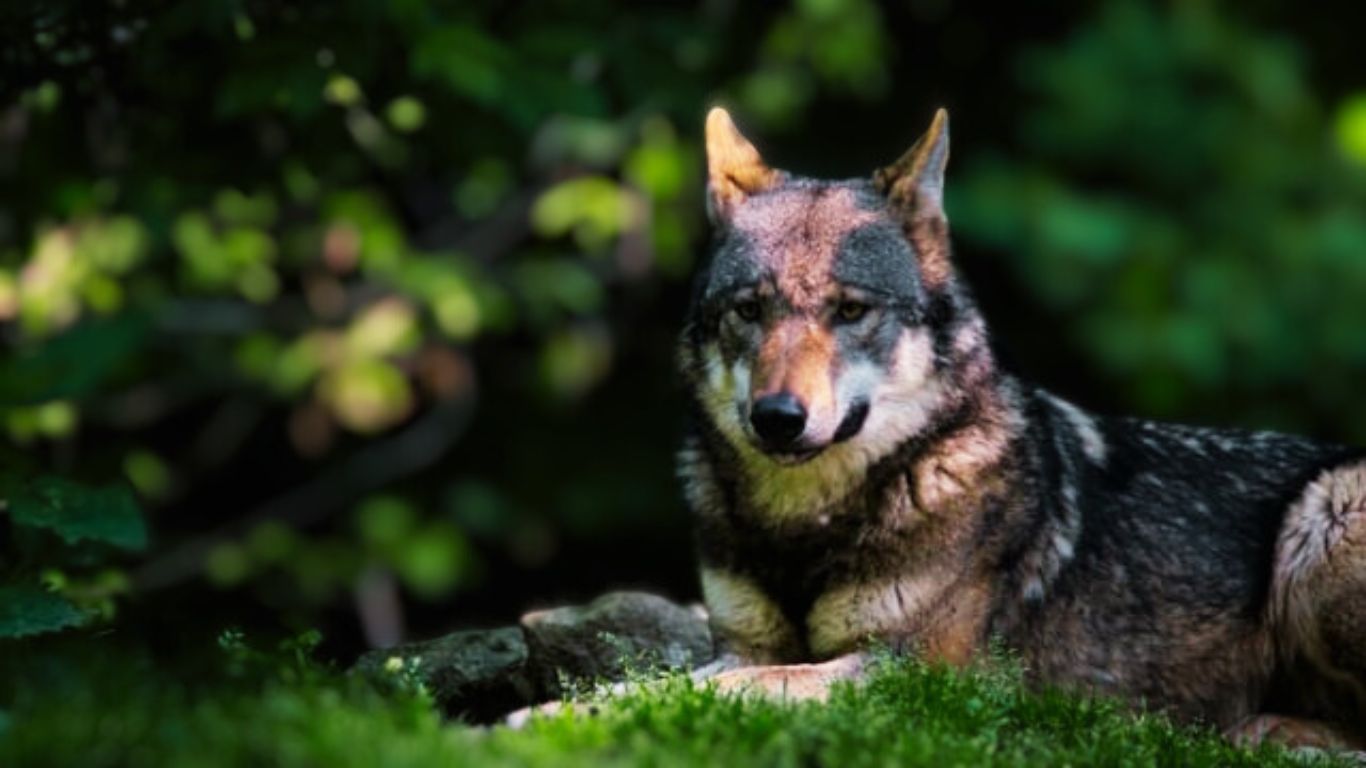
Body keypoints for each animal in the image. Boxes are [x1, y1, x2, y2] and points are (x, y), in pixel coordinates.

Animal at [677, 105, 1366, 748]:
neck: (800, 533)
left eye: (850, 310)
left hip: (1328, 507)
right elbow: (709, 672)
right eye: (749, 310)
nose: (778, 419)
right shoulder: (742, 641)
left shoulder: (920, 674)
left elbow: (746, 683)